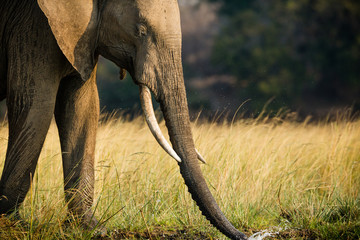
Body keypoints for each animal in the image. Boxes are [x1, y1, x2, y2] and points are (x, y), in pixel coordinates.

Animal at [0, 0, 248, 239]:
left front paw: (91, 229)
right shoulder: (35, 26)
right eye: (140, 30)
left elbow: (82, 106)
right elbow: (35, 103)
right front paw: (12, 222)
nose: (243, 235)